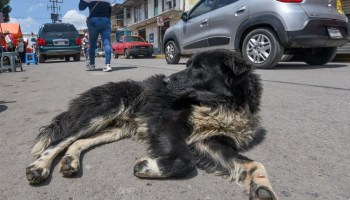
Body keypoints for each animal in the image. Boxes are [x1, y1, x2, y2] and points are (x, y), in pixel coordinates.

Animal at [26, 48, 278, 200]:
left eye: (199, 69)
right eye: (188, 65)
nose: (165, 81)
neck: (219, 106)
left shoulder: (209, 141)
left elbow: (253, 163)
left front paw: (262, 188)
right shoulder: (167, 122)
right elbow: (185, 161)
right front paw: (148, 166)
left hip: (115, 128)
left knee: (77, 142)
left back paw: (70, 161)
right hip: (100, 111)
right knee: (59, 140)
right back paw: (39, 167)